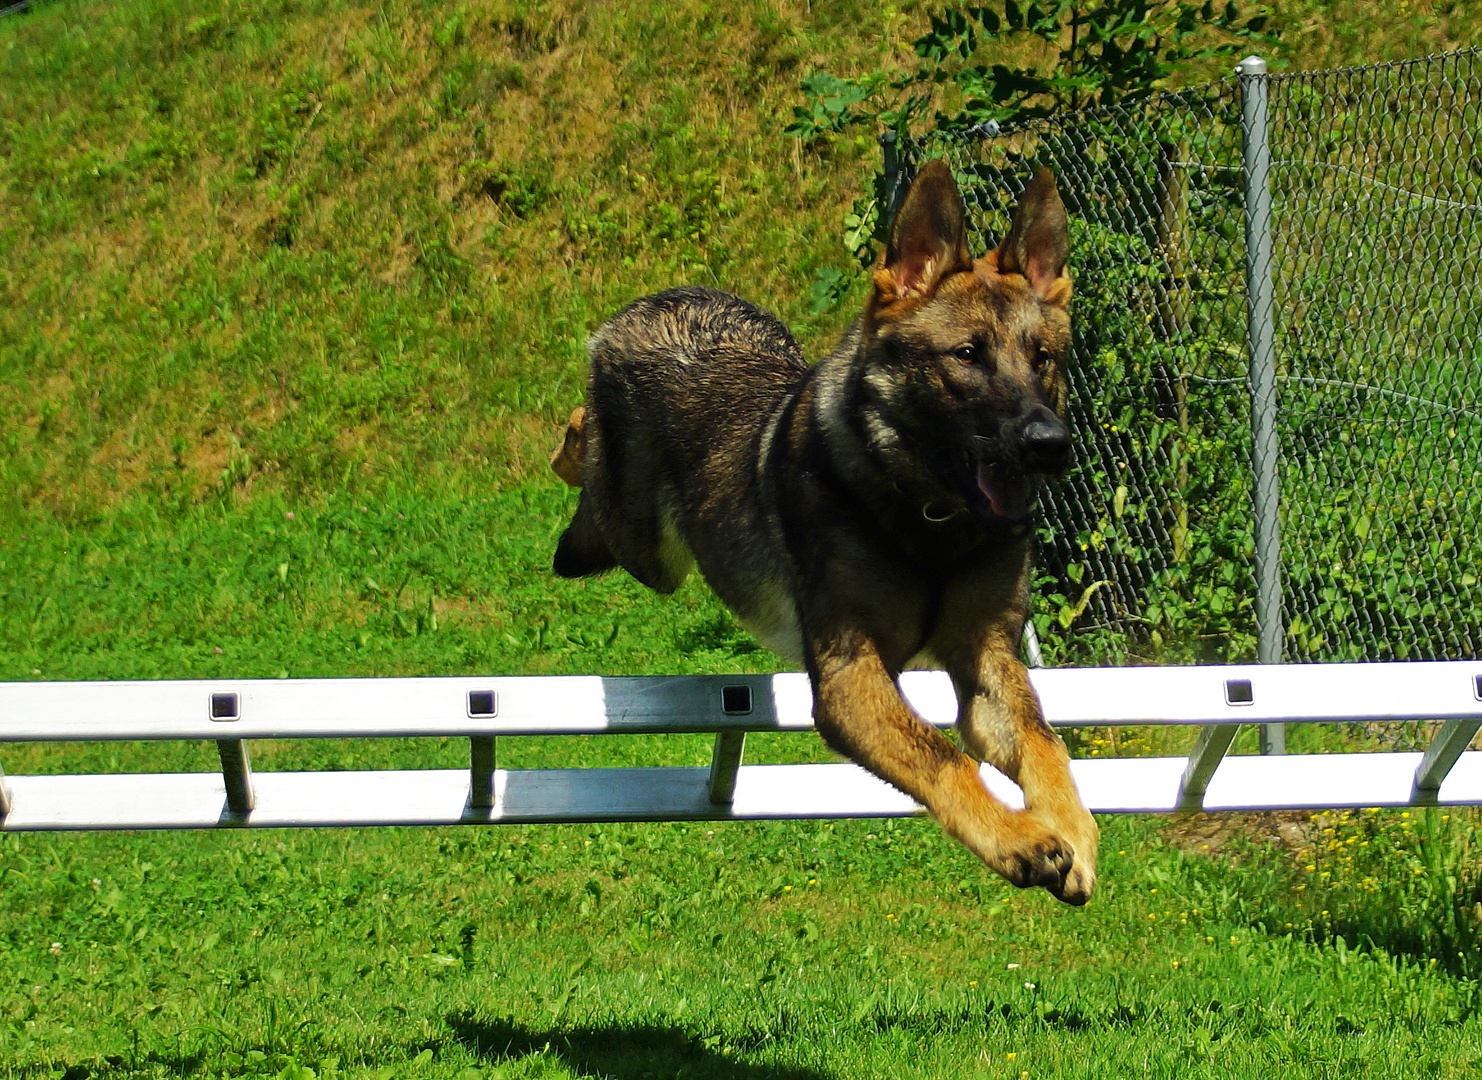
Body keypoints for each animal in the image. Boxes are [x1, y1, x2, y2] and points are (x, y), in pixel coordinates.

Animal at [551, 160, 1096, 900]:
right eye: (966, 355)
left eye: (1043, 357)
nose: (1049, 443)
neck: (929, 519)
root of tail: (659, 299)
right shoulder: (850, 679)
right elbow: (943, 755)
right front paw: (1019, 837)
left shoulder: (987, 663)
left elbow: (1044, 742)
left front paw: (1073, 829)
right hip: (644, 546)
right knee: (584, 446)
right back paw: (566, 452)